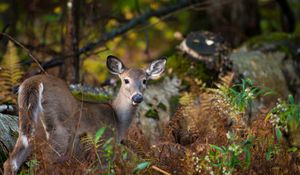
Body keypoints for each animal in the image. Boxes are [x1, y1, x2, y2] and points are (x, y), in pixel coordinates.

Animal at [2, 55, 166, 174]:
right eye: (126, 80)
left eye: (144, 81)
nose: (137, 97)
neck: (117, 120)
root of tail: (34, 83)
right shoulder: (103, 145)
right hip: (59, 129)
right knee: (47, 162)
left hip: (28, 127)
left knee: (11, 162)